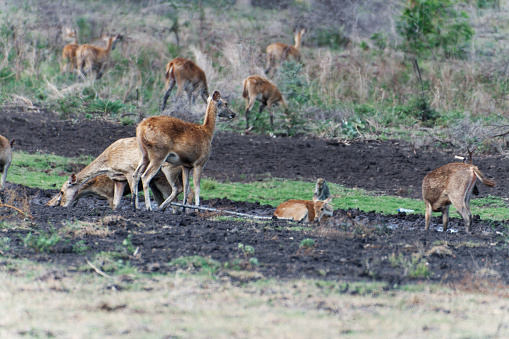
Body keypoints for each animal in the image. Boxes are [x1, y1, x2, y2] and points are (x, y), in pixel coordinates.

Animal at [51, 137, 192, 210]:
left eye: (62, 191)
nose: (61, 205)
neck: (108, 162)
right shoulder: (119, 179)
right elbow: (116, 203)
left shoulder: (129, 171)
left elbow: (134, 194)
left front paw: (136, 209)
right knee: (187, 190)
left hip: (168, 169)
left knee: (178, 189)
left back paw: (160, 208)